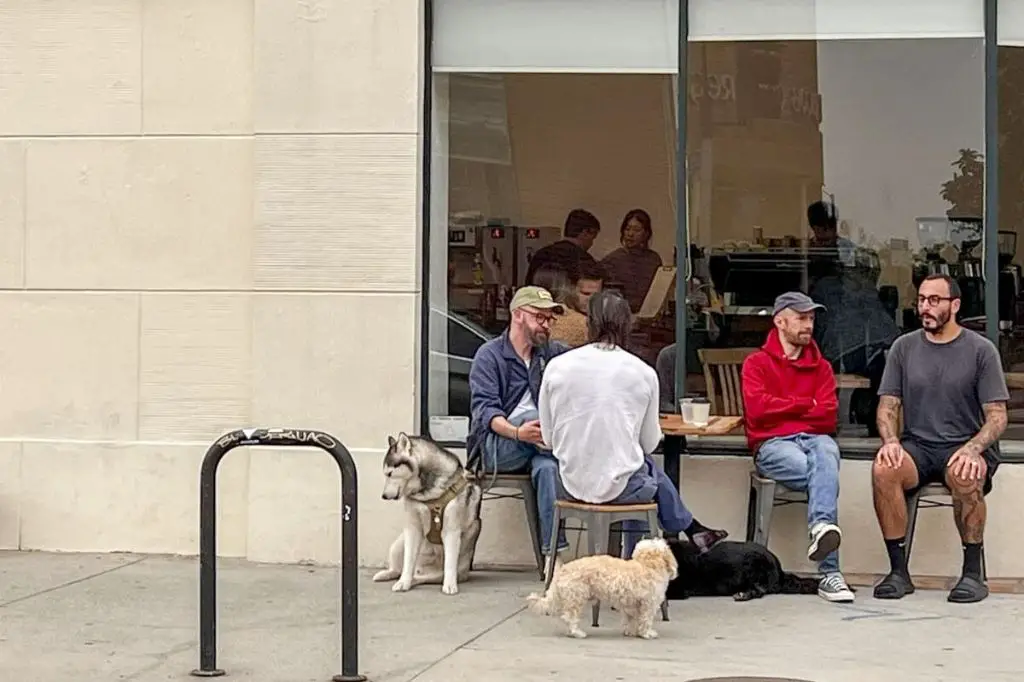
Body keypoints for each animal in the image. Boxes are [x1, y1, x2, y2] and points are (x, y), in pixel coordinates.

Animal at [372, 432, 483, 593]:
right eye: (385, 474)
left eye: (390, 473)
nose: (384, 496)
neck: (426, 492)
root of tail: (421, 570)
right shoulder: (413, 528)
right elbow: (408, 560)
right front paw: (403, 582)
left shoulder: (451, 530)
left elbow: (450, 562)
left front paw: (450, 585)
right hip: (398, 545)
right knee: (399, 568)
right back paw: (390, 574)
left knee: (425, 577)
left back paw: (416, 579)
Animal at [528, 536, 679, 638]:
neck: (648, 565)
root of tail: (563, 570)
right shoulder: (648, 604)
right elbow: (646, 620)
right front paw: (647, 633)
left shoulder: (630, 605)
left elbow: (631, 619)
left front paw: (631, 631)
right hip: (576, 598)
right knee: (570, 617)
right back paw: (577, 632)